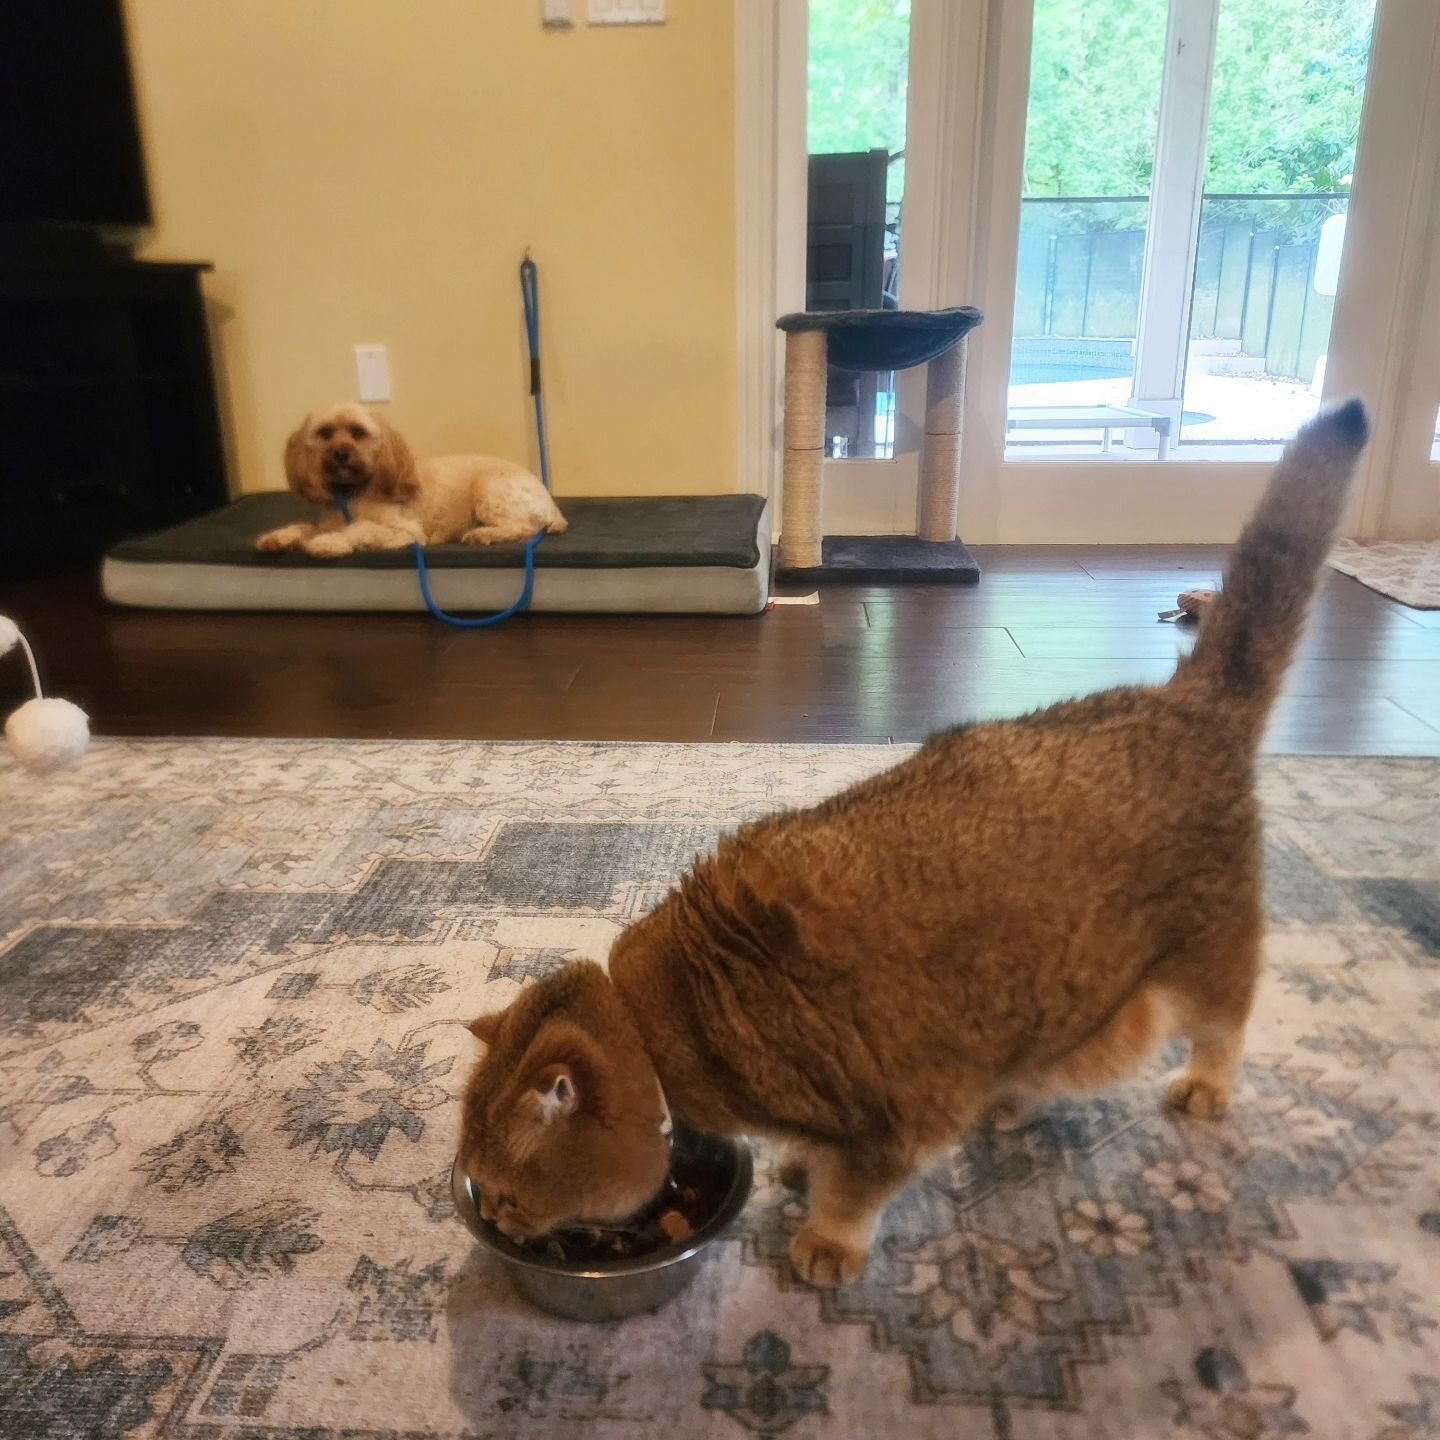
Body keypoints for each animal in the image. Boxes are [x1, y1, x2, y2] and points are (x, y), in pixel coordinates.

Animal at [259, 408, 567, 564]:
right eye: (325, 433)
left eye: (358, 432)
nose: (340, 454)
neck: (356, 491)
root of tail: (550, 502)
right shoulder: (330, 520)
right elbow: (306, 527)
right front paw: (280, 537)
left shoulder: (406, 532)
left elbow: (360, 530)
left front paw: (328, 543)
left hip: (489, 490)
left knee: (524, 528)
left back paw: (483, 534)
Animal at [460, 400, 1370, 1290]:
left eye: (507, 1192)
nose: (498, 1222)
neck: (675, 1012)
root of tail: (1189, 698)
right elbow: (819, 1152)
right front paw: (799, 1165)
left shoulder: (901, 1114)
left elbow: (856, 1192)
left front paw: (826, 1237)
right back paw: (1017, 1100)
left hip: (1204, 954)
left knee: (1228, 1018)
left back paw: (1204, 1083)